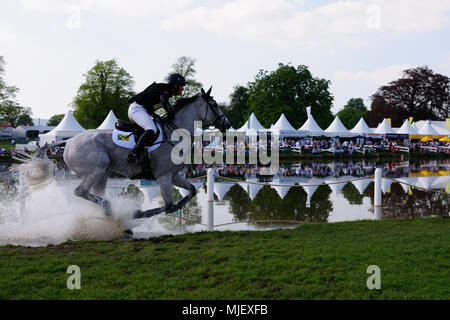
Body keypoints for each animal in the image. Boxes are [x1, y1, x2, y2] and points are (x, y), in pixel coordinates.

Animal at [35, 87, 232, 220]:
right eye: (214, 104)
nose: (227, 124)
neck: (175, 133)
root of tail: (68, 142)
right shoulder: (163, 176)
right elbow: (168, 205)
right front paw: (137, 214)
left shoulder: (174, 175)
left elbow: (190, 191)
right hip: (96, 171)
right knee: (80, 191)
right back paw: (109, 208)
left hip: (103, 174)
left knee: (95, 193)